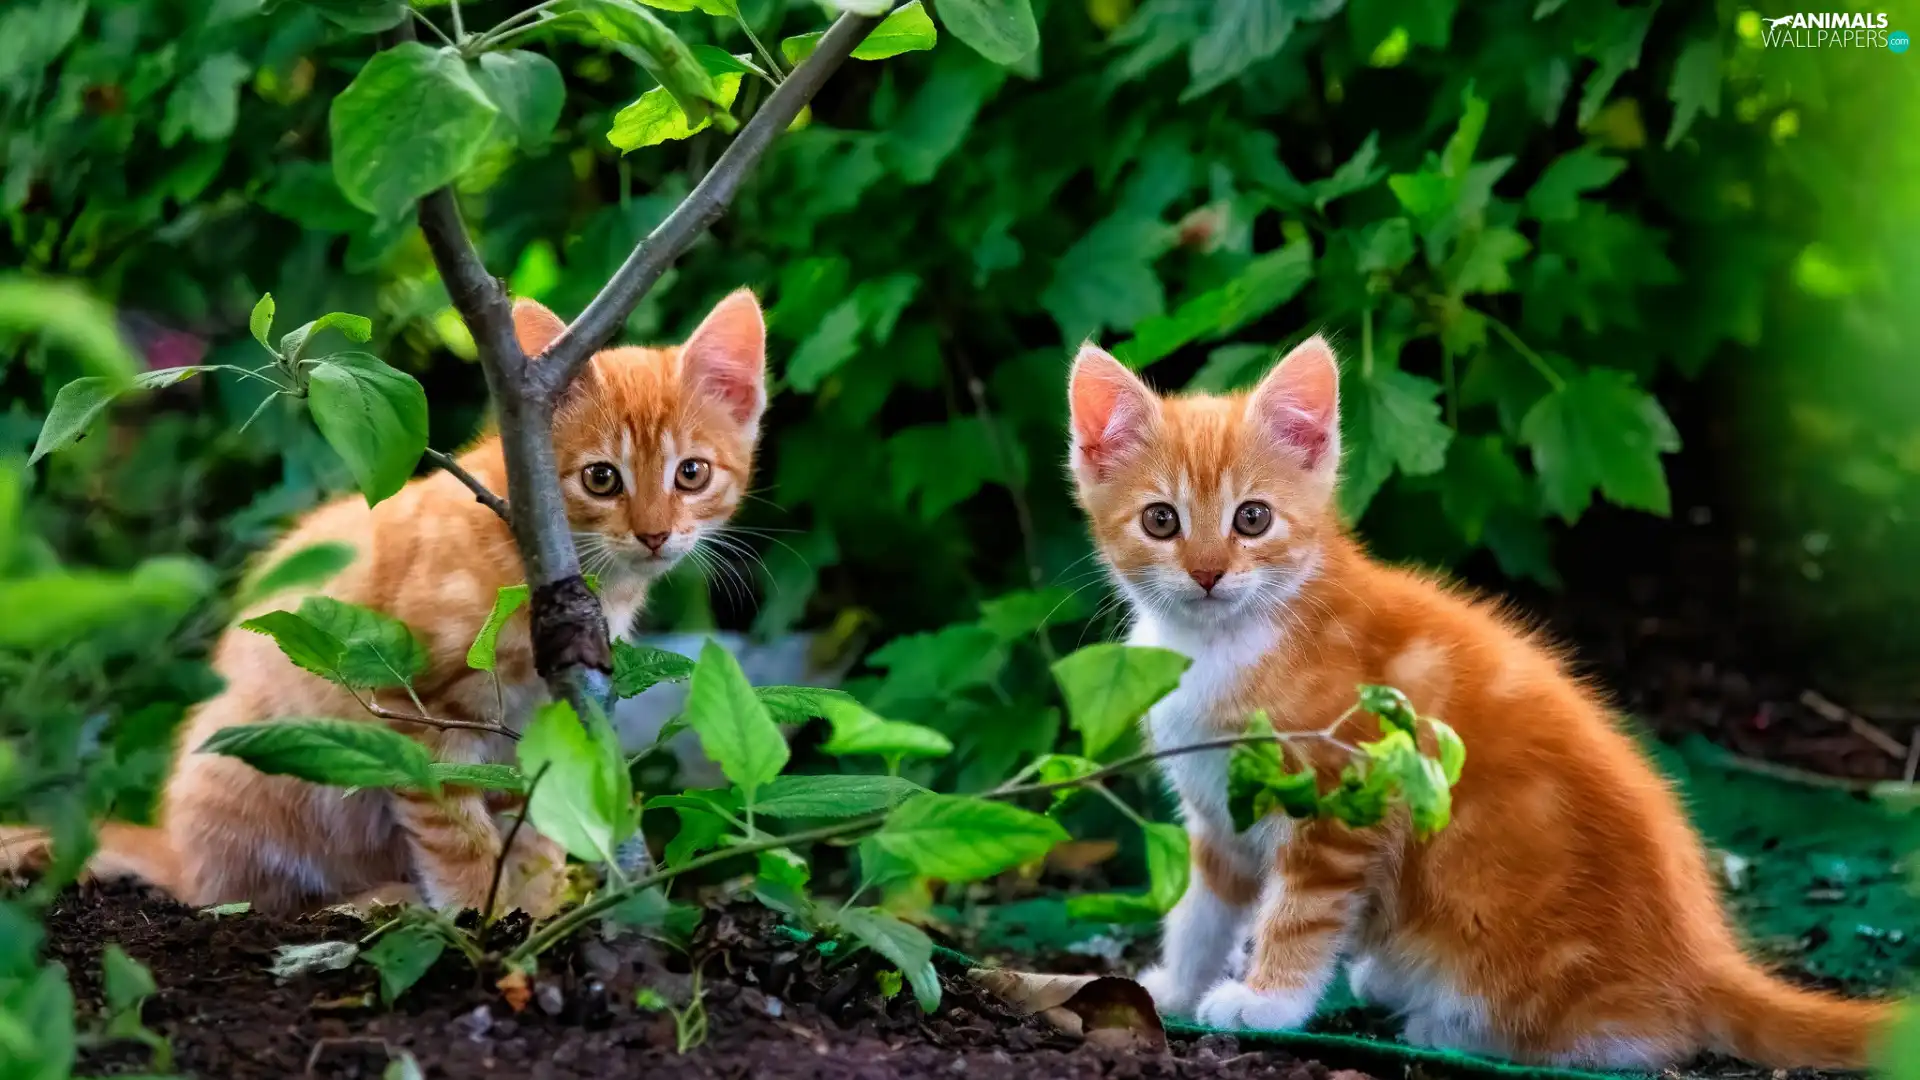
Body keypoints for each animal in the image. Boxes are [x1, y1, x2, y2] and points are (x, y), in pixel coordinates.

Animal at [9, 290, 771, 910]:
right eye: (602, 478)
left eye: (691, 473)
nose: (654, 534)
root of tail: (176, 846)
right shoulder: (418, 714)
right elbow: (454, 826)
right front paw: (483, 914)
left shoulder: (538, 721)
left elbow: (532, 822)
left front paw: (536, 905)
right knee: (244, 897)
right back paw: (378, 901)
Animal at [1067, 338, 1889, 1068]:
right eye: (1162, 520)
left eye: (1253, 518)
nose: (1207, 574)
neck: (1224, 643)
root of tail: (1703, 958)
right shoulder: (1220, 813)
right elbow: (1201, 909)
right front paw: (1173, 985)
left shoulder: (1341, 799)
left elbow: (1300, 911)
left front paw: (1267, 1003)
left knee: (1635, 1040)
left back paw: (1449, 1025)